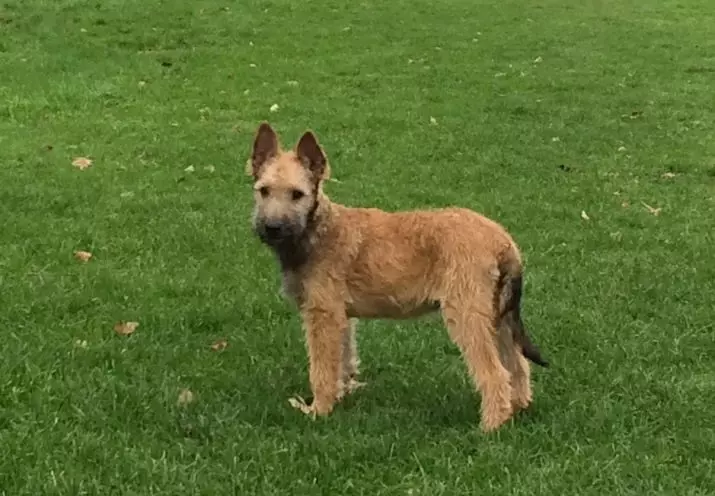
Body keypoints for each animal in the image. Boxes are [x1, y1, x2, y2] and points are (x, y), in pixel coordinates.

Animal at [246, 122, 548, 432]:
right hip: (498, 315)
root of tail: (503, 241)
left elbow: (321, 368)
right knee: (517, 364)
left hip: (467, 314)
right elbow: (343, 359)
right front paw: (341, 395)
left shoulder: (322, 315)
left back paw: (491, 426)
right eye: (263, 191)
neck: (317, 230)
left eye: (297, 194)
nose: (272, 228)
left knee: (495, 373)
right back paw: (518, 407)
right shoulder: (342, 317)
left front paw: (318, 410)